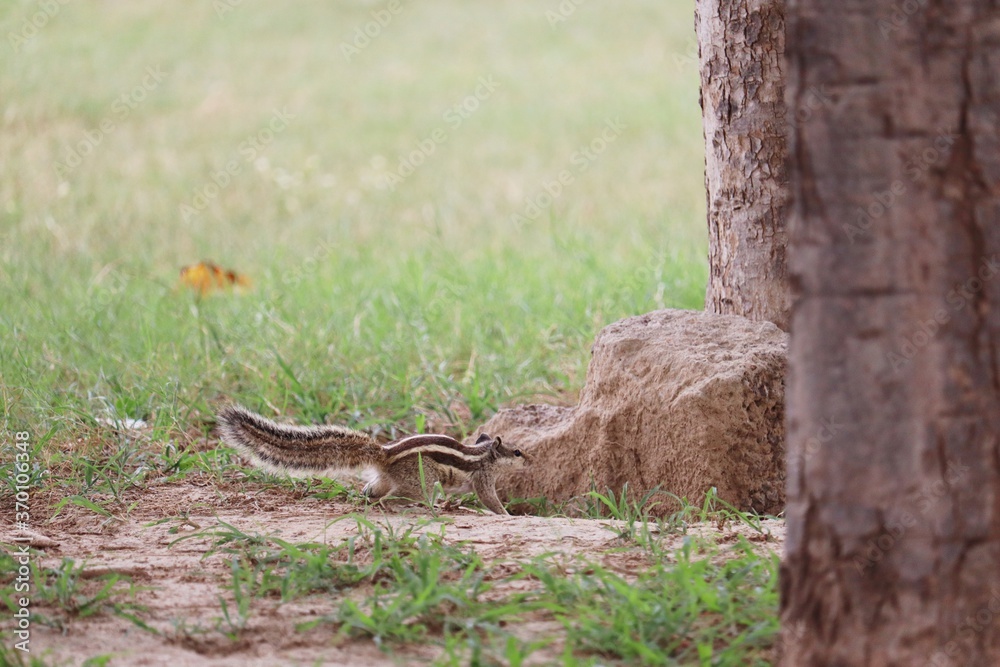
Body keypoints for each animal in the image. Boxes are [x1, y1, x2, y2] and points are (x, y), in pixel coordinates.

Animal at [215, 404, 526, 515]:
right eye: (518, 452)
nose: (529, 459)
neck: (484, 454)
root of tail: (384, 455)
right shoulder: (483, 477)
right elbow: (489, 499)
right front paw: (506, 514)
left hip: (386, 480)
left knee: (373, 492)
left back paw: (365, 500)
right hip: (423, 483)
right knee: (398, 497)